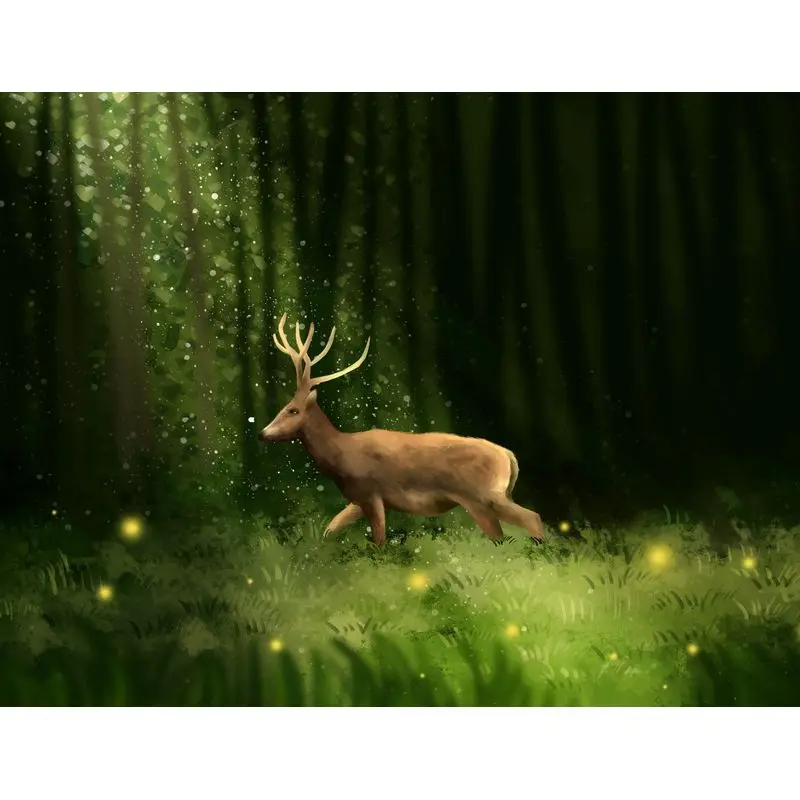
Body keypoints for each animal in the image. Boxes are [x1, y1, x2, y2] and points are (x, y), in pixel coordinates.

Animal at [258, 314, 546, 547]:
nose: (263, 433)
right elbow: (331, 529)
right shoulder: (358, 499)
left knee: (529, 518)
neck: (342, 455)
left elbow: (379, 542)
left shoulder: (372, 493)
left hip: (482, 498)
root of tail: (509, 457)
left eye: (292, 410)